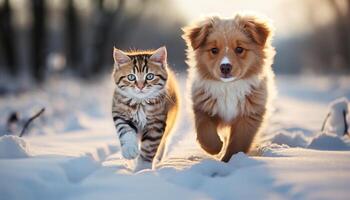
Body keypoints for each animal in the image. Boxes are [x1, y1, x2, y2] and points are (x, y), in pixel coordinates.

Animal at [183, 13, 276, 162]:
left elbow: (238, 143)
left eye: (239, 49)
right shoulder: (202, 107)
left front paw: (229, 160)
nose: (225, 67)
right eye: (214, 50)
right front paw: (216, 148)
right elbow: (205, 132)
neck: (229, 87)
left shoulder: (249, 115)